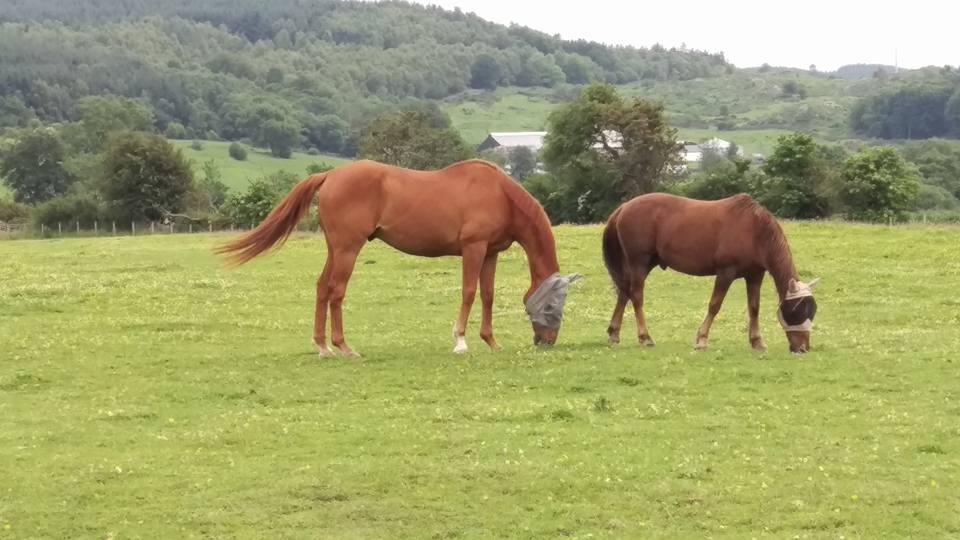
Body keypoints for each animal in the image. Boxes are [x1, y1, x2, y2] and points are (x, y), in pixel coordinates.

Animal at [216, 159, 580, 357]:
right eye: (551, 305)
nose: (547, 342)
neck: (500, 194)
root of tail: (330, 175)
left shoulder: (490, 253)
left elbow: (487, 295)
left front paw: (491, 342)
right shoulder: (473, 248)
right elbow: (468, 293)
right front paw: (461, 341)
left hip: (335, 248)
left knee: (322, 287)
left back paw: (322, 346)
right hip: (348, 248)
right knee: (336, 291)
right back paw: (343, 347)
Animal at [602, 193, 819, 353]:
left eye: (812, 311)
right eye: (797, 311)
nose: (802, 349)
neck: (754, 231)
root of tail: (624, 207)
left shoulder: (755, 275)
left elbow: (754, 308)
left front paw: (757, 341)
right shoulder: (725, 273)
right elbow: (715, 305)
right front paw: (702, 339)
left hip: (645, 264)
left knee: (624, 292)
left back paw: (614, 332)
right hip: (639, 261)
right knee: (636, 296)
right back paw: (645, 337)